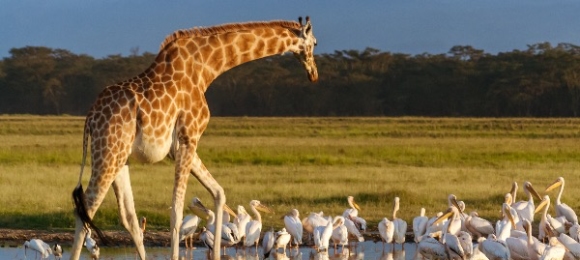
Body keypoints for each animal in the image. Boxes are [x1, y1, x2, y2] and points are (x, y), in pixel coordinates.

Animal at [70, 16, 320, 260]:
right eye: (315, 43)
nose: (314, 74)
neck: (206, 69)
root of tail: (90, 117)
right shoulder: (189, 138)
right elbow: (177, 210)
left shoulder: (179, 147)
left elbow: (218, 193)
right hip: (108, 154)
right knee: (86, 210)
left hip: (121, 159)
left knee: (128, 217)